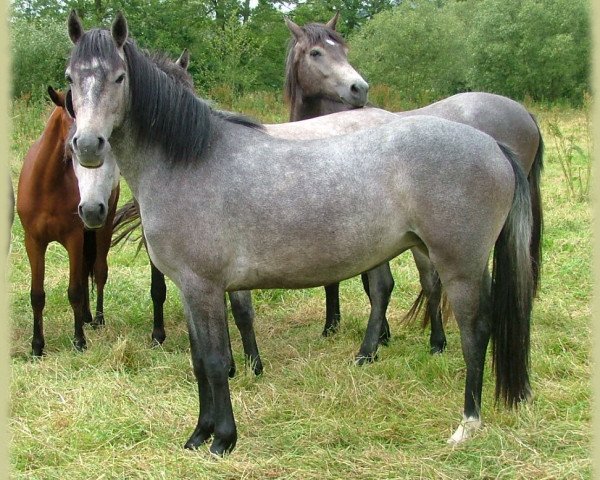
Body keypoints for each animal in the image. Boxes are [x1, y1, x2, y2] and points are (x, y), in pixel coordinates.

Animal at [17, 86, 119, 356]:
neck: (48, 186)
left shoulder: (73, 238)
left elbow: (74, 290)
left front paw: (79, 341)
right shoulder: (34, 242)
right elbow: (37, 294)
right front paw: (37, 346)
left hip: (103, 228)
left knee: (99, 271)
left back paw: (97, 320)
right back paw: (85, 316)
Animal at [65, 10, 536, 454]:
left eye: (120, 77)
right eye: (70, 78)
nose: (87, 146)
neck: (187, 160)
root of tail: (492, 146)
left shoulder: (204, 286)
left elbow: (216, 361)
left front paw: (223, 440)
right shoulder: (189, 288)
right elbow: (200, 361)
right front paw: (199, 436)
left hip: (461, 266)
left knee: (475, 332)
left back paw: (467, 424)